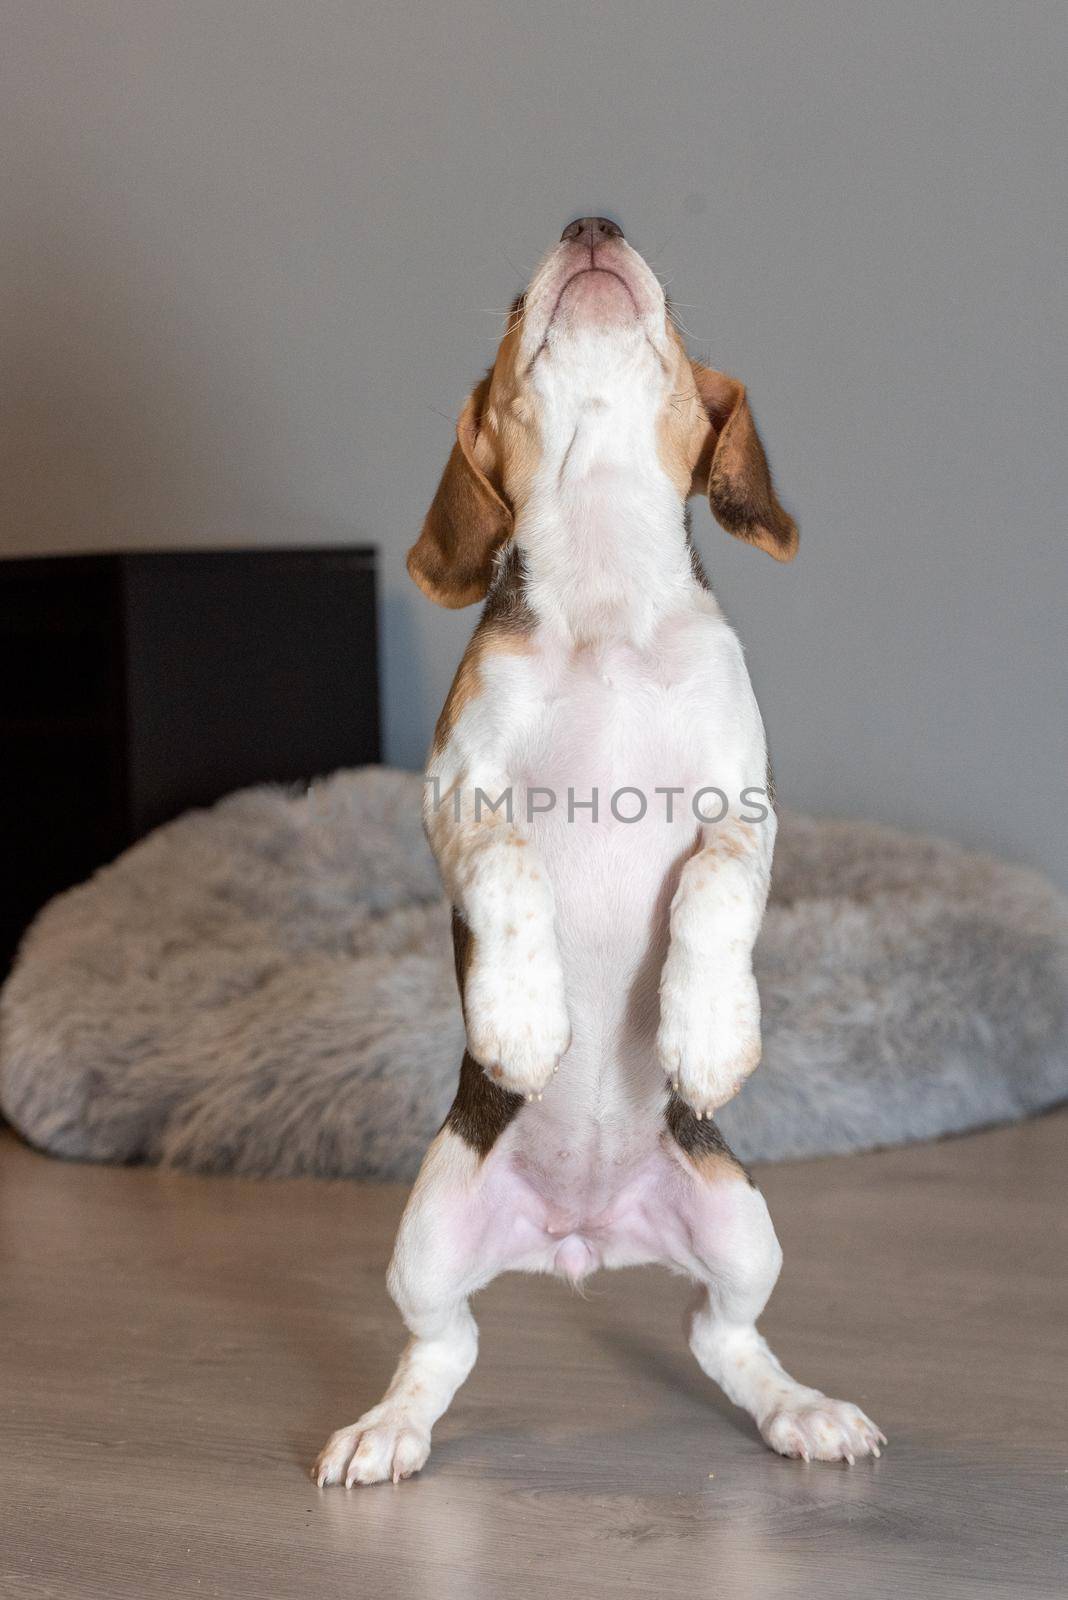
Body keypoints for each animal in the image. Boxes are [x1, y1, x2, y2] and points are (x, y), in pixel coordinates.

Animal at [313, 216, 882, 1484]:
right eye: (516, 308)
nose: (590, 223)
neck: (608, 581)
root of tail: (580, 1236)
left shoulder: (744, 805)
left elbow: (714, 892)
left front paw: (706, 1032)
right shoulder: (458, 793)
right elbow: (512, 872)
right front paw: (526, 1019)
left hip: (740, 1219)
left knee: (723, 1335)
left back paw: (801, 1409)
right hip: (430, 1224)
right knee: (445, 1347)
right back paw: (388, 1429)